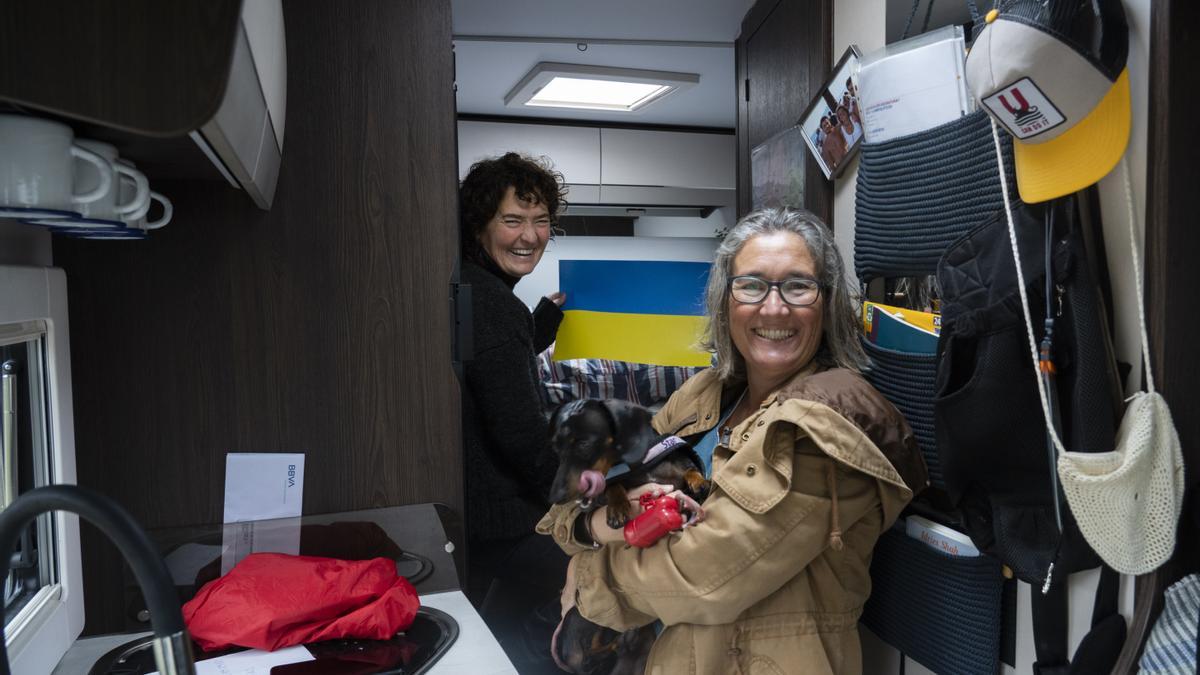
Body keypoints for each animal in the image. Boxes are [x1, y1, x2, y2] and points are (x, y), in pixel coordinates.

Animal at [549, 398, 705, 672]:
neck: (641, 464)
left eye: (583, 443)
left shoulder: (678, 466)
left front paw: (698, 480)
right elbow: (614, 486)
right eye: (556, 450)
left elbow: (688, 469)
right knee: (592, 652)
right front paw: (618, 507)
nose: (555, 497)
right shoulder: (615, 482)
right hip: (582, 615)